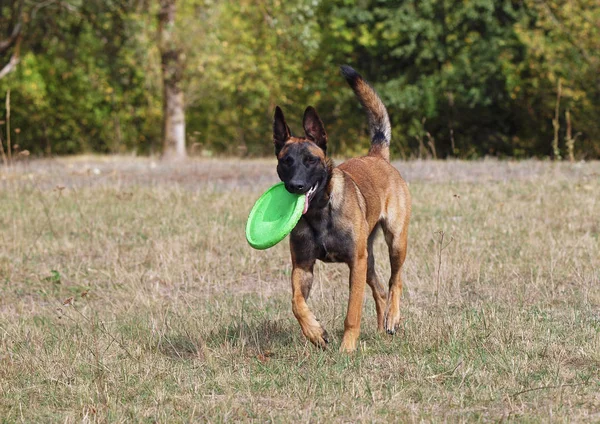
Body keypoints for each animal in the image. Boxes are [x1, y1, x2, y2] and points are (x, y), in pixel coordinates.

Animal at [274, 65, 410, 352]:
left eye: (310, 160)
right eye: (286, 161)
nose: (296, 186)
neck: (320, 212)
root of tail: (375, 156)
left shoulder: (355, 264)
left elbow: (352, 312)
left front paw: (347, 348)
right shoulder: (303, 266)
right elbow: (296, 303)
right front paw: (315, 332)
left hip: (395, 242)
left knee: (395, 281)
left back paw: (392, 318)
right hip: (368, 259)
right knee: (380, 289)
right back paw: (381, 328)